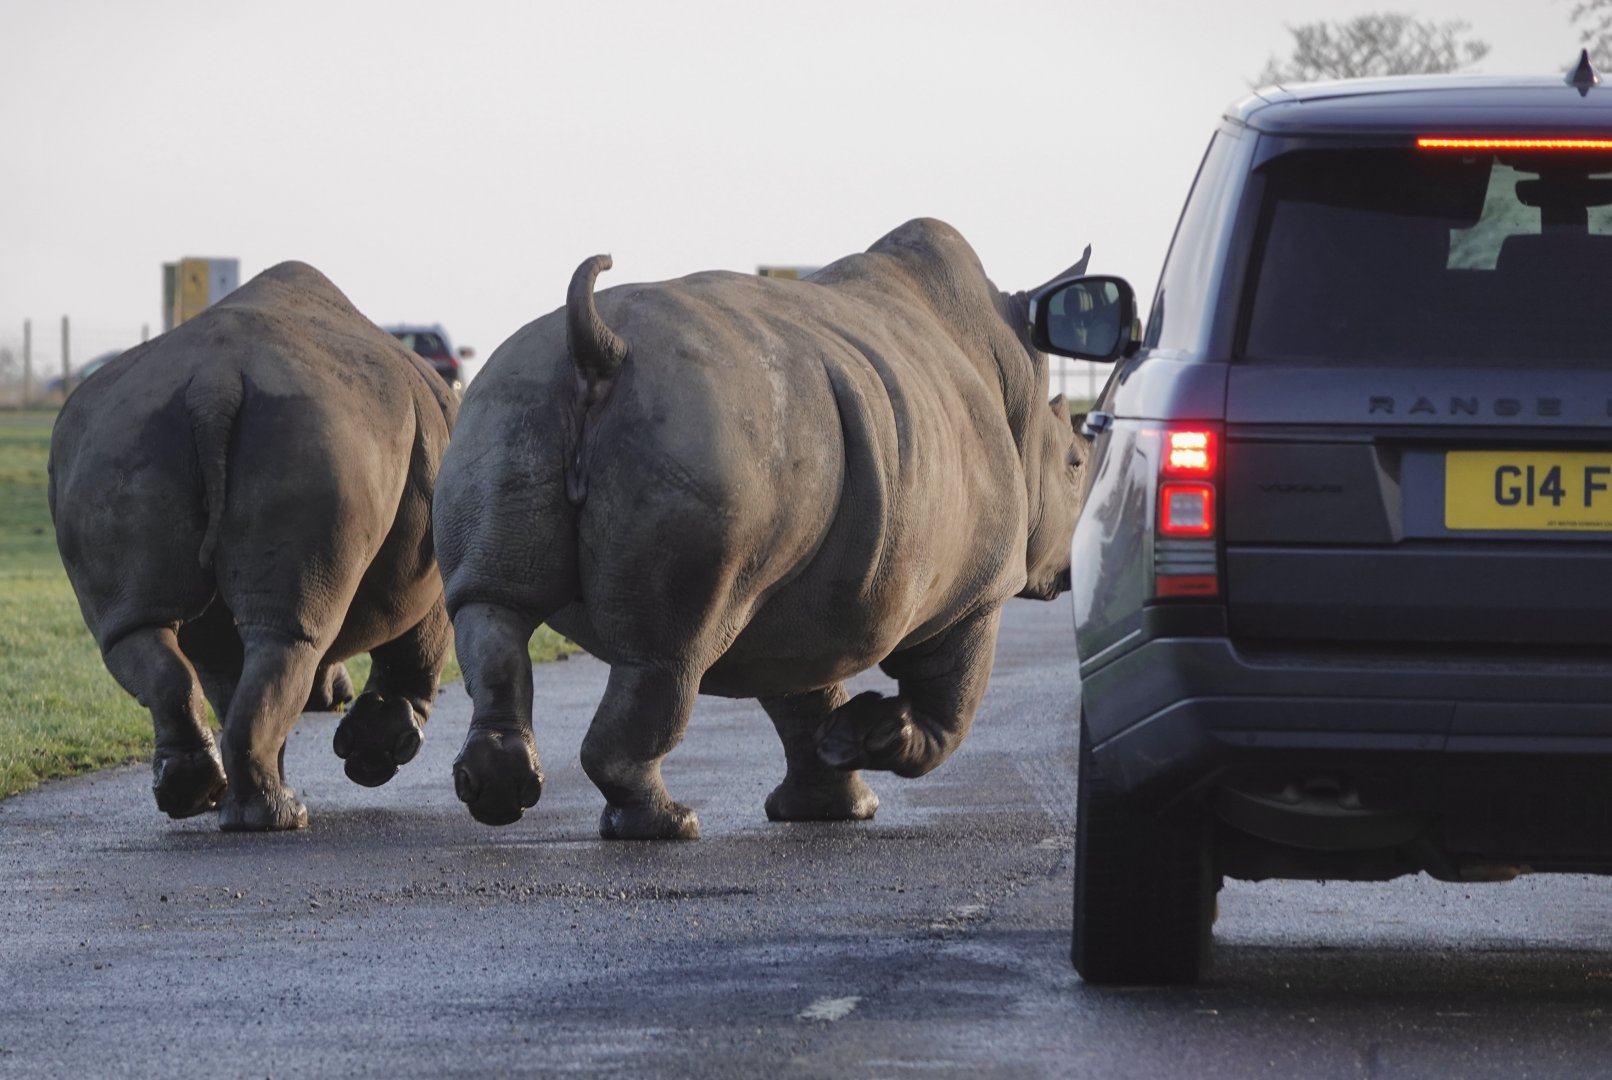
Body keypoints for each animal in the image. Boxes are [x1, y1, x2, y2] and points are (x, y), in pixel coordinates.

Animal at [49, 261, 458, 831]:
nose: (337, 694)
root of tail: (213, 384)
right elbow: (421, 643)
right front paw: (377, 753)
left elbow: (227, 677)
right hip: (319, 439)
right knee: (292, 637)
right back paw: (280, 817)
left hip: (113, 441)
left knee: (141, 630)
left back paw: (201, 799)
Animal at [434, 218, 1090, 839]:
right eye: (1078, 464)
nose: (1069, 571)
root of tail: (594, 340)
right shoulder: (982, 591)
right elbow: (949, 705)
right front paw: (871, 739)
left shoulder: (797, 595)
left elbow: (801, 695)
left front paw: (831, 794)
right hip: (705, 432)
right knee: (668, 656)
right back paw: (671, 826)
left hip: (509, 398)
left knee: (491, 603)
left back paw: (496, 792)